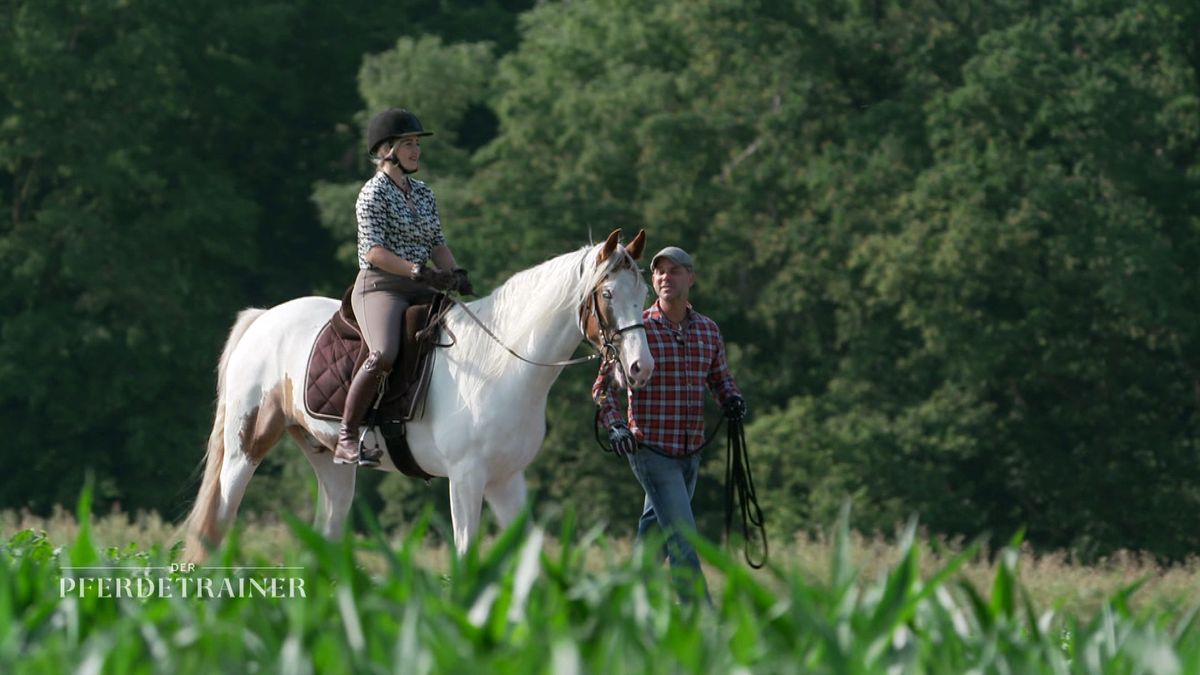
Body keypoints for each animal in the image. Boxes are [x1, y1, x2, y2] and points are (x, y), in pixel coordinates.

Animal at [184, 229, 657, 557]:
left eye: (645, 292)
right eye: (607, 293)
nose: (641, 368)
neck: (502, 364)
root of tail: (263, 318)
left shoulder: (507, 480)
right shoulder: (466, 478)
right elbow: (466, 556)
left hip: (330, 462)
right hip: (247, 447)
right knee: (219, 520)